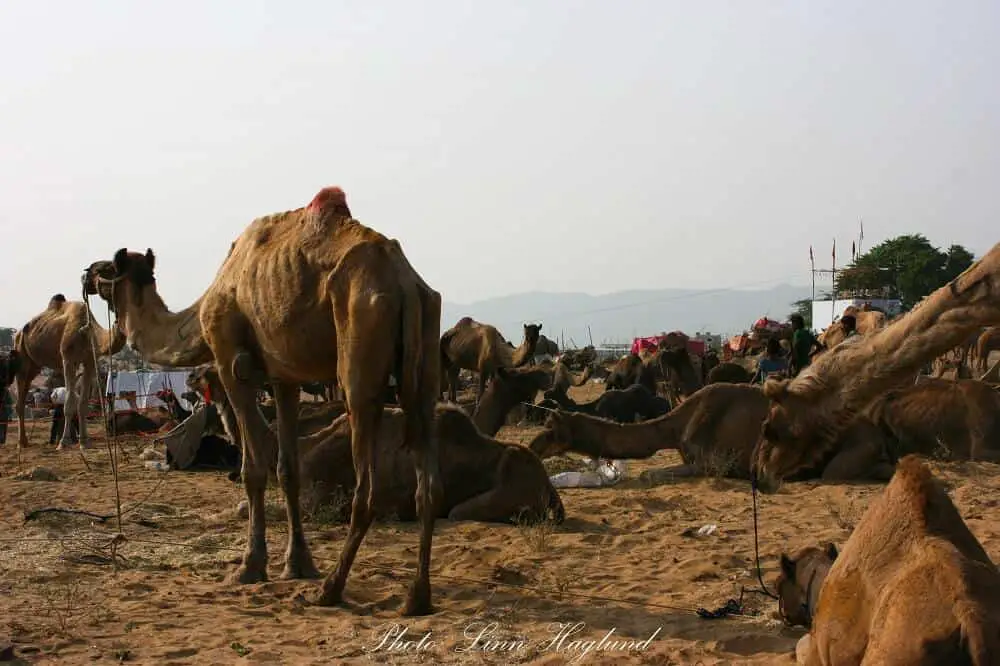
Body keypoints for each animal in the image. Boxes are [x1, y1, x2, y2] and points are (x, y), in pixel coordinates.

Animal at [84, 184, 444, 616]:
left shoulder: (229, 361)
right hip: (426, 350)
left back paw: (331, 589)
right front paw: (297, 564)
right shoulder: (284, 377)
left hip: (361, 337)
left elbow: (253, 468)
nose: (86, 274)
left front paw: (250, 567)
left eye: (107, 269)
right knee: (428, 480)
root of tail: (404, 281)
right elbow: (288, 470)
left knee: (367, 485)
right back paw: (417, 596)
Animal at [528, 384, 896, 482]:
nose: (532, 447)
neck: (673, 426)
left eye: (549, 429)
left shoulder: (706, 463)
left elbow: (651, 474)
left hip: (852, 450)